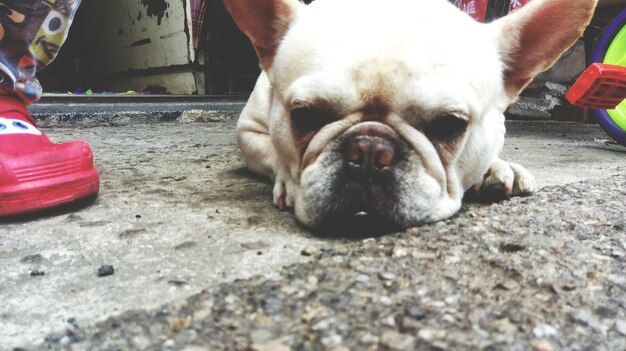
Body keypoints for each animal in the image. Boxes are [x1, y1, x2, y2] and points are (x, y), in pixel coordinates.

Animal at [224, 0, 596, 228]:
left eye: (450, 125)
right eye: (305, 116)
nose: (369, 150)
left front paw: (498, 167)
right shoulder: (248, 131)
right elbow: (274, 153)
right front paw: (287, 182)